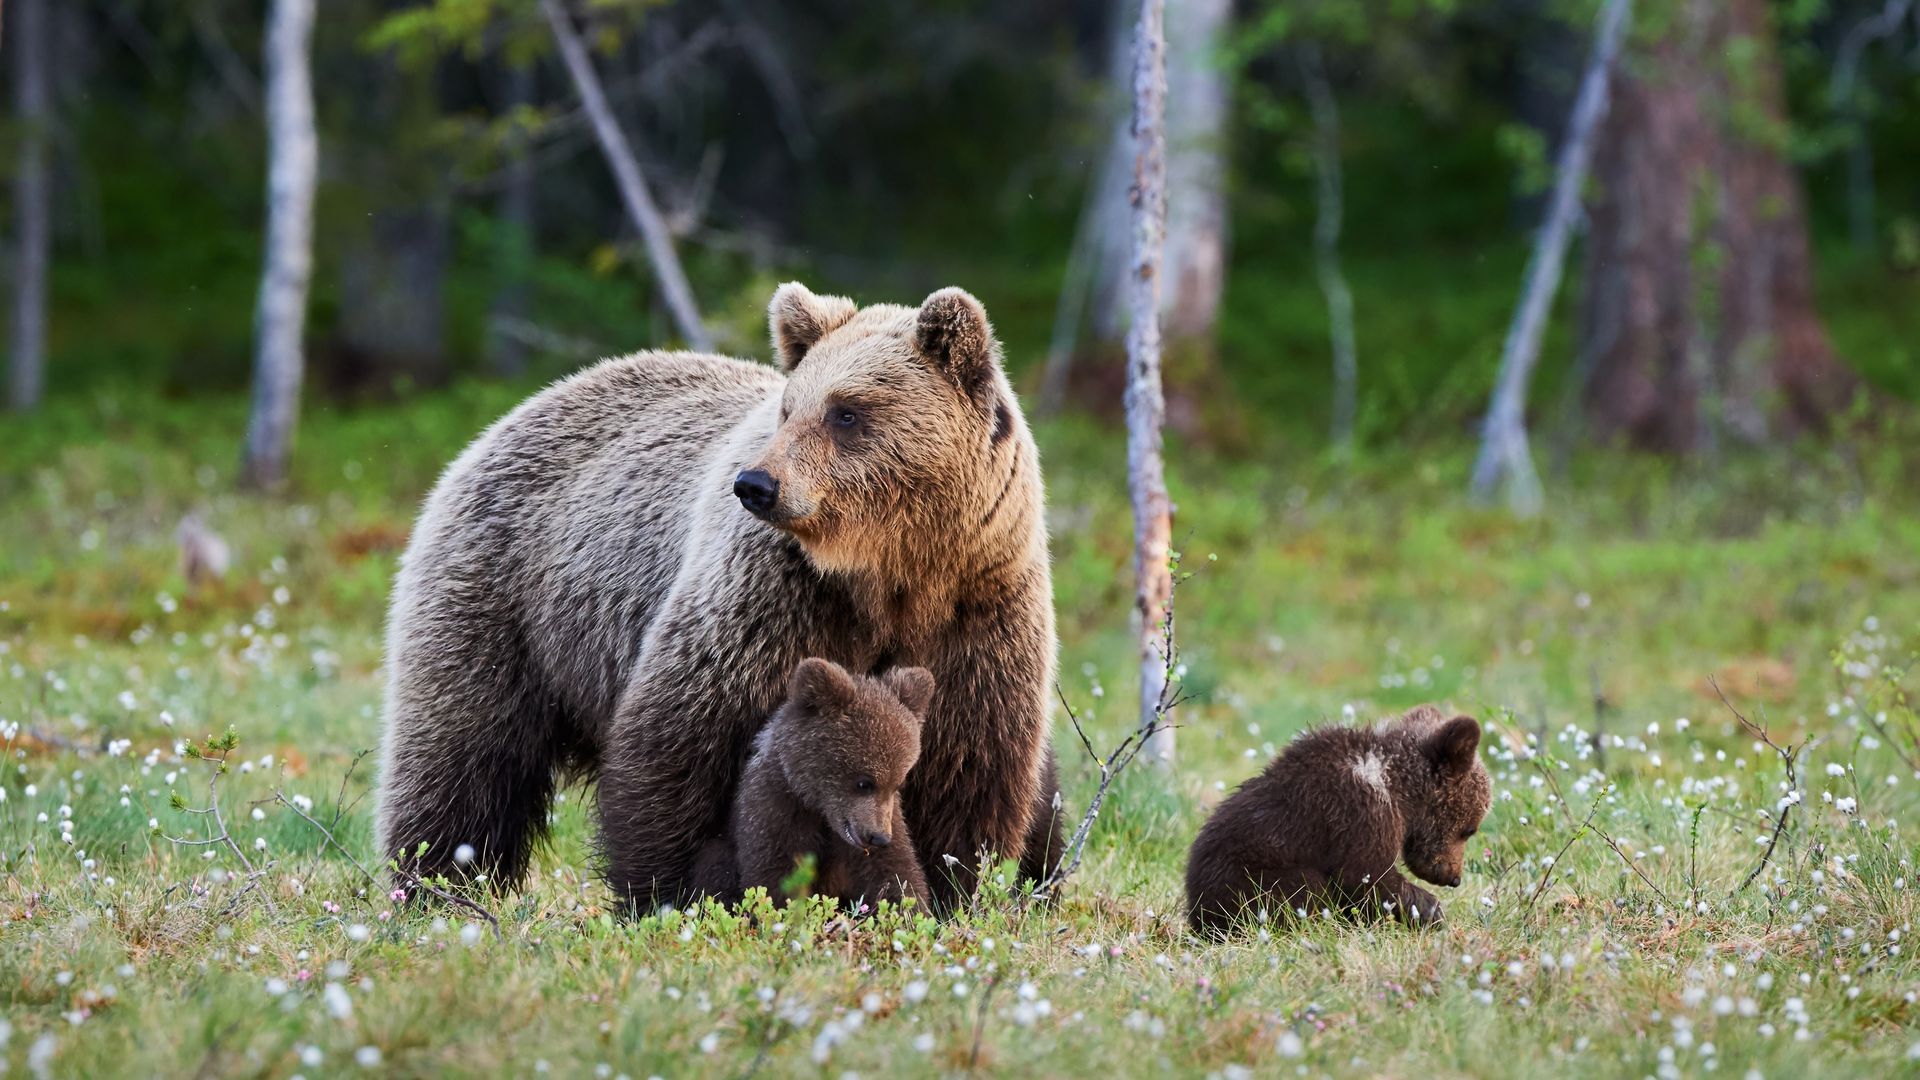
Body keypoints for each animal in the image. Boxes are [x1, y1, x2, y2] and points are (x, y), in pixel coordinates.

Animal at [689, 659, 934, 910]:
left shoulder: (883, 822)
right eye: (864, 783)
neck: (819, 809)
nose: (879, 837)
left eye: (897, 783)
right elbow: (775, 875)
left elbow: (895, 873)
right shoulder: (775, 809)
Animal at [1185, 705, 1490, 935]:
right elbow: (1367, 876)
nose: (1454, 877)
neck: (1397, 787)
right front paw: (1431, 911)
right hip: (1248, 876)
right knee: (1300, 890)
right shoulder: (1358, 812)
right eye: (1469, 829)